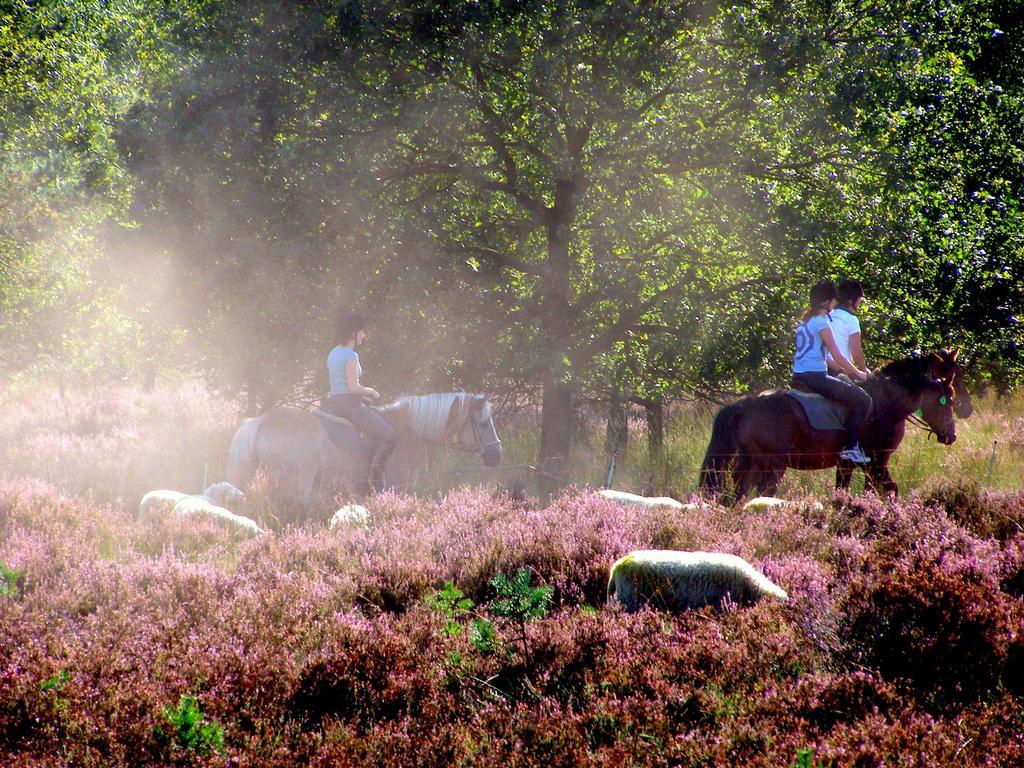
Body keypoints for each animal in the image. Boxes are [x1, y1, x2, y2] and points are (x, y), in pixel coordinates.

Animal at [230, 393, 505, 514]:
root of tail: (261, 420)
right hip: (296, 478)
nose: (497, 456)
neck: (408, 430)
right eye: (483, 423)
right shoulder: (396, 484)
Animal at [700, 372, 954, 505]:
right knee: (763, 493)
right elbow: (890, 489)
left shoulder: (850, 465)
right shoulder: (876, 462)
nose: (951, 435)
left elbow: (847, 492)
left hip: (751, 462)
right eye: (945, 400)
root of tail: (746, 403)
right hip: (773, 464)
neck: (883, 406)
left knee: (737, 495)